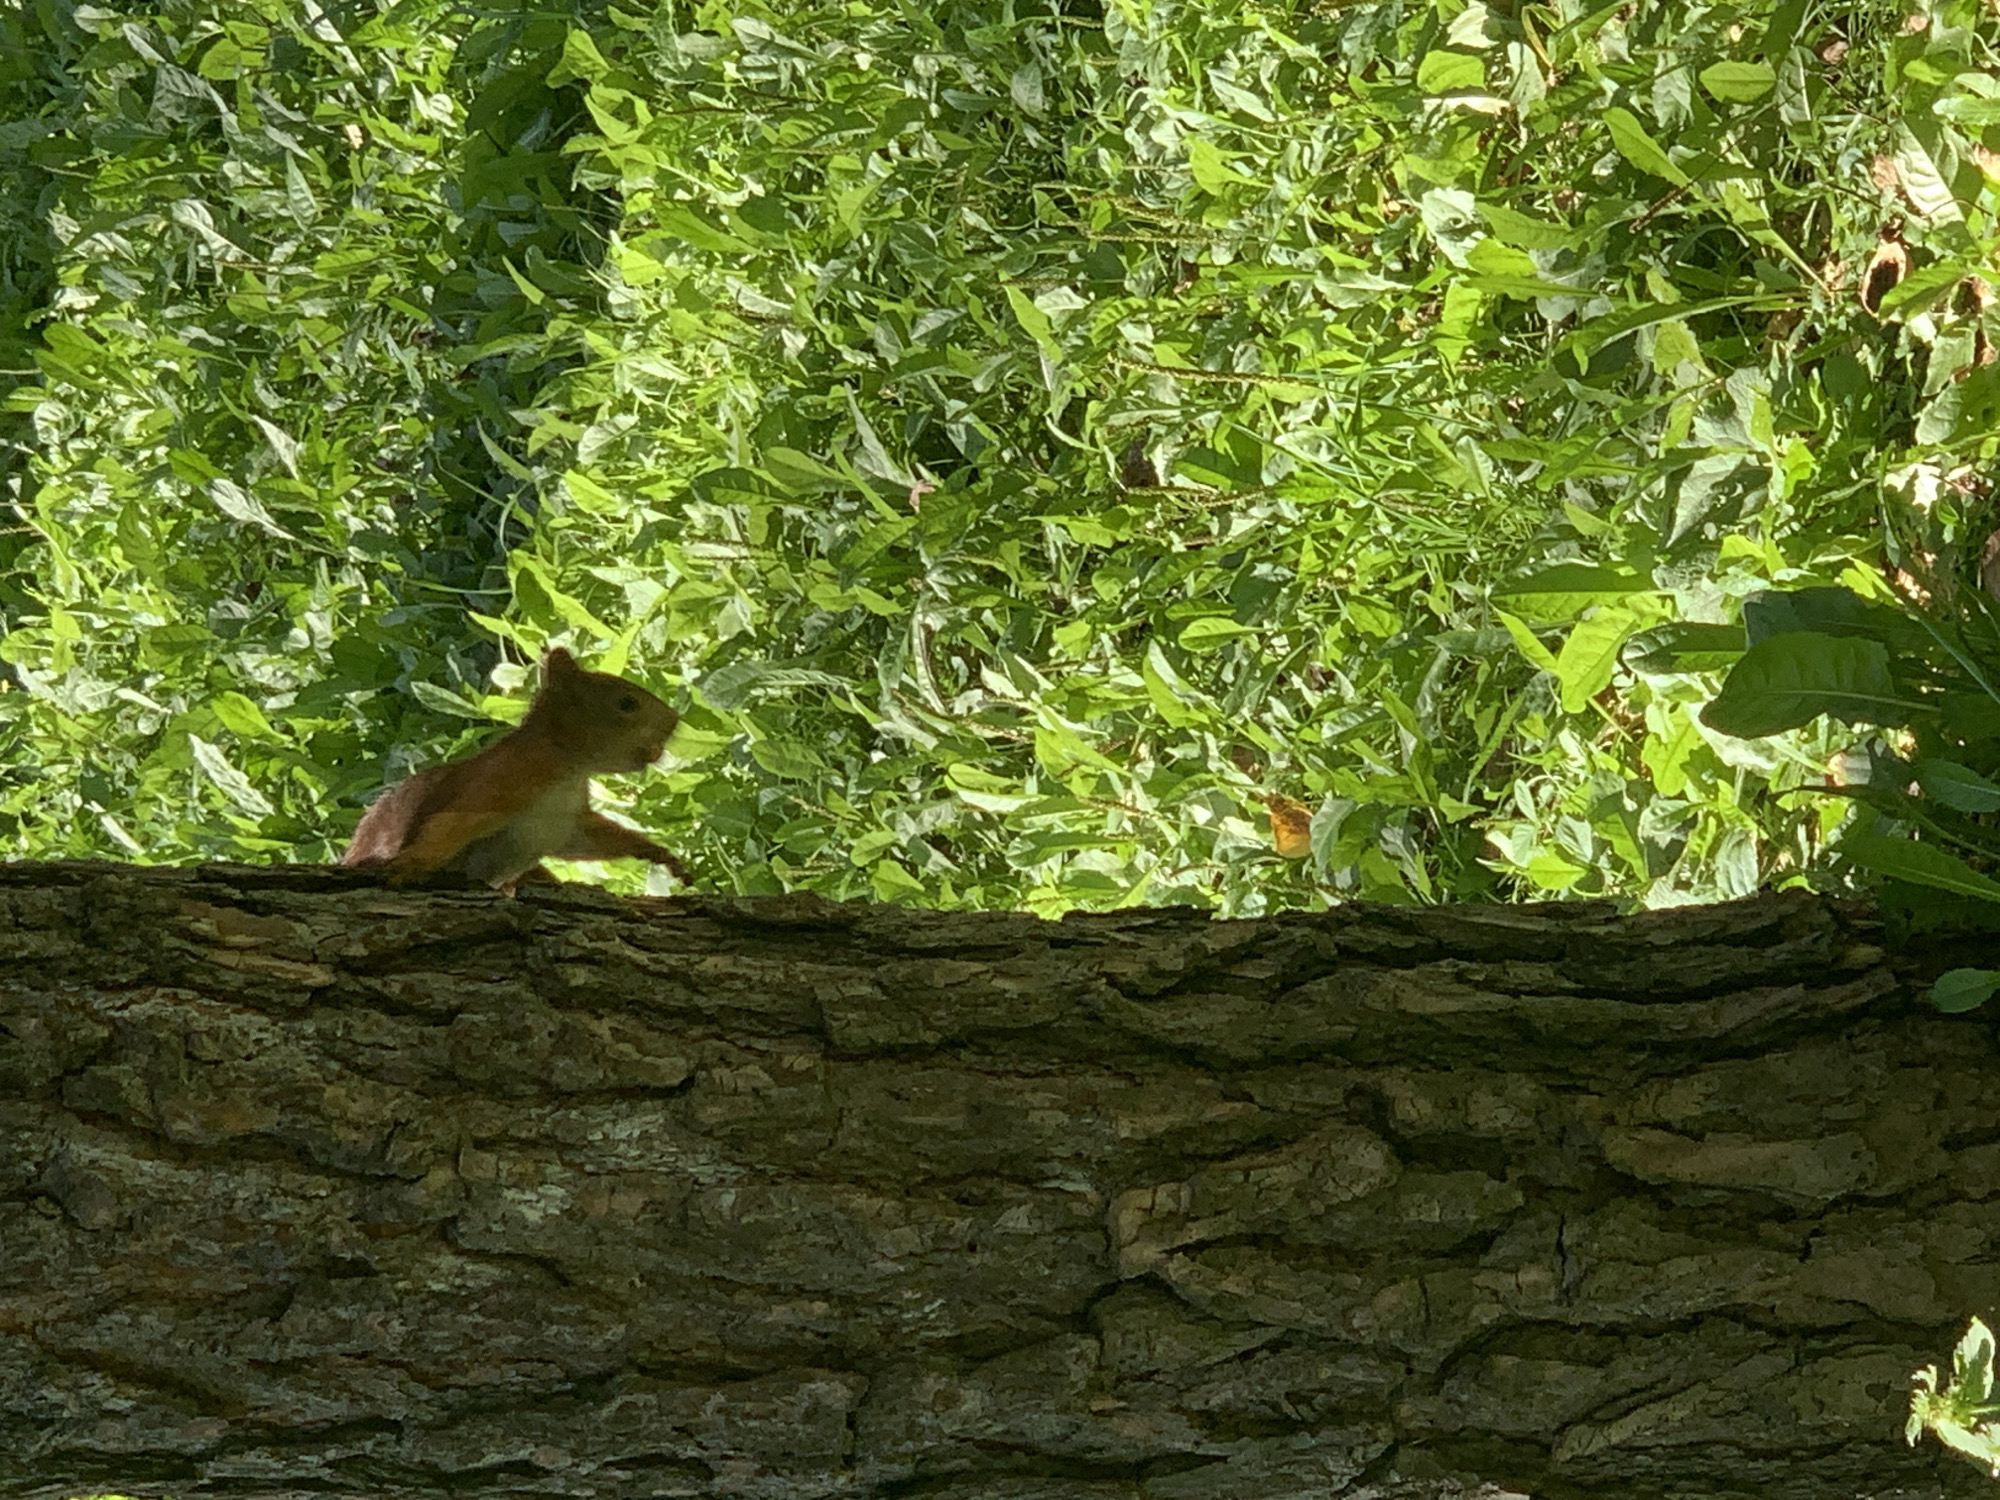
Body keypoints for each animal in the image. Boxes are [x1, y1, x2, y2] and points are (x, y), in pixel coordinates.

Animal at [342, 646, 687, 892]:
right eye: (626, 703)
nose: (674, 720)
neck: (568, 766)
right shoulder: (506, 778)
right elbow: (449, 825)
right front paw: (412, 864)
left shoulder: (565, 823)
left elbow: (590, 841)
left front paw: (658, 853)